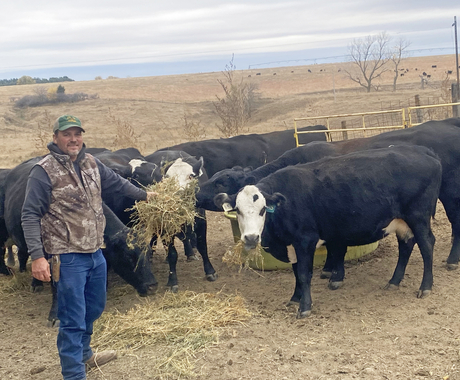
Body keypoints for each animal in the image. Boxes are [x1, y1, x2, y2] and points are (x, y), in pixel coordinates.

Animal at [216, 145, 442, 318]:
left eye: (263, 209)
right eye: (238, 210)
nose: (251, 237)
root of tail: (423, 151)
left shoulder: (305, 240)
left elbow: (304, 274)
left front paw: (304, 307)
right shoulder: (293, 245)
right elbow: (296, 273)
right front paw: (295, 298)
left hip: (418, 217)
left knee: (426, 245)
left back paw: (425, 286)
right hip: (402, 222)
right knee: (406, 246)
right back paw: (394, 281)